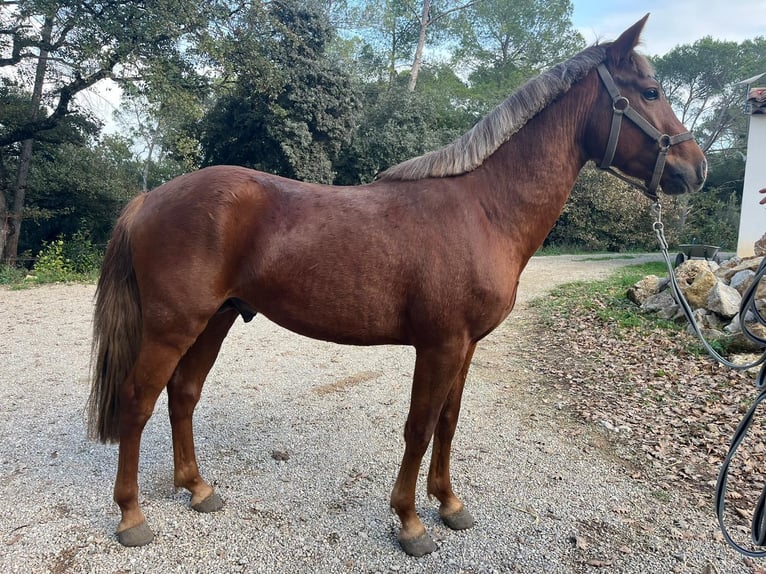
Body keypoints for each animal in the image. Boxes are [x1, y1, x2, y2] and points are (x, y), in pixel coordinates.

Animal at [88, 16, 708, 560]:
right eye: (650, 91)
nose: (696, 168)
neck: (483, 210)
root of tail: (151, 198)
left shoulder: (466, 346)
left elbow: (448, 424)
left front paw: (449, 504)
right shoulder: (439, 345)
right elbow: (419, 428)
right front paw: (411, 523)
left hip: (214, 320)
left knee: (183, 394)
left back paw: (198, 489)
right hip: (173, 326)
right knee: (138, 402)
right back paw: (131, 517)